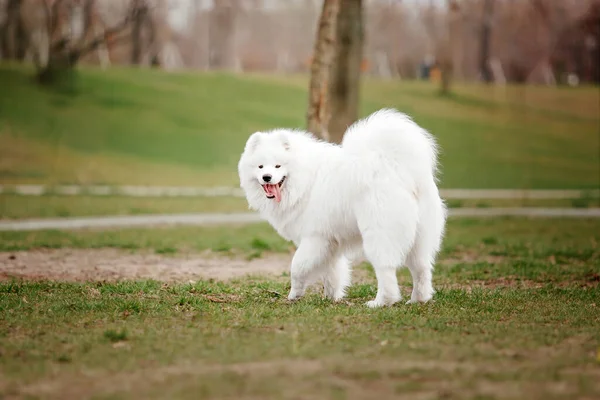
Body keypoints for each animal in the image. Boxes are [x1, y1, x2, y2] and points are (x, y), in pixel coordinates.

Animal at [238, 108, 446, 308]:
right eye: (260, 166)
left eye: (277, 166)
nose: (266, 177)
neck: (304, 180)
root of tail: (398, 169)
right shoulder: (330, 242)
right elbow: (332, 273)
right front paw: (331, 298)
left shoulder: (315, 237)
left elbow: (297, 266)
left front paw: (294, 295)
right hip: (419, 237)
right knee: (421, 268)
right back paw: (418, 299)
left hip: (379, 234)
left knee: (386, 270)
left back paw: (381, 302)